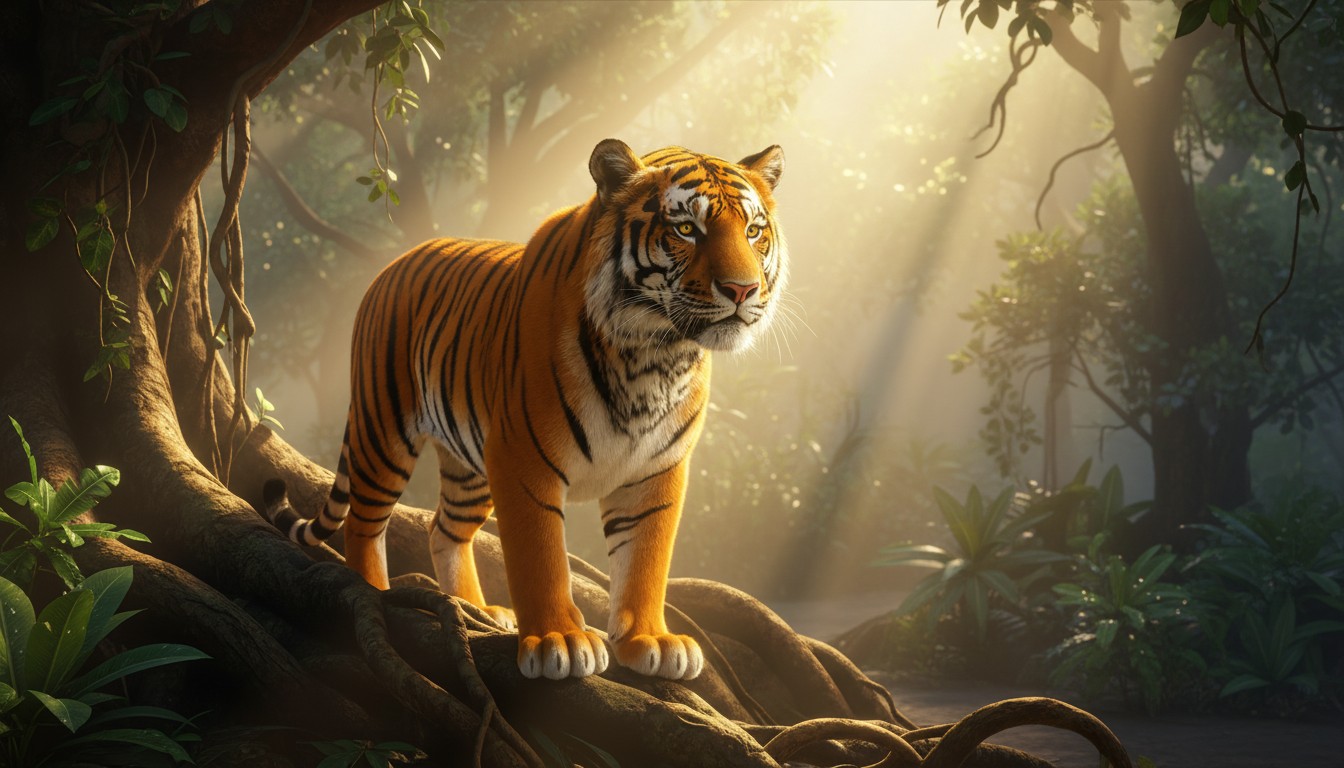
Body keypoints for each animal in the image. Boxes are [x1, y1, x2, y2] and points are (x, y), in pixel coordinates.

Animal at [263, 138, 787, 681]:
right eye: (686, 229)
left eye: (753, 231)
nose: (743, 290)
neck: (655, 353)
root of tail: (393, 263)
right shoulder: (523, 459)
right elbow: (540, 557)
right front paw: (560, 641)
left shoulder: (657, 469)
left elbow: (646, 557)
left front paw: (650, 642)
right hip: (383, 433)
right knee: (364, 524)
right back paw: (376, 594)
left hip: (469, 465)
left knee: (444, 530)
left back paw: (477, 610)